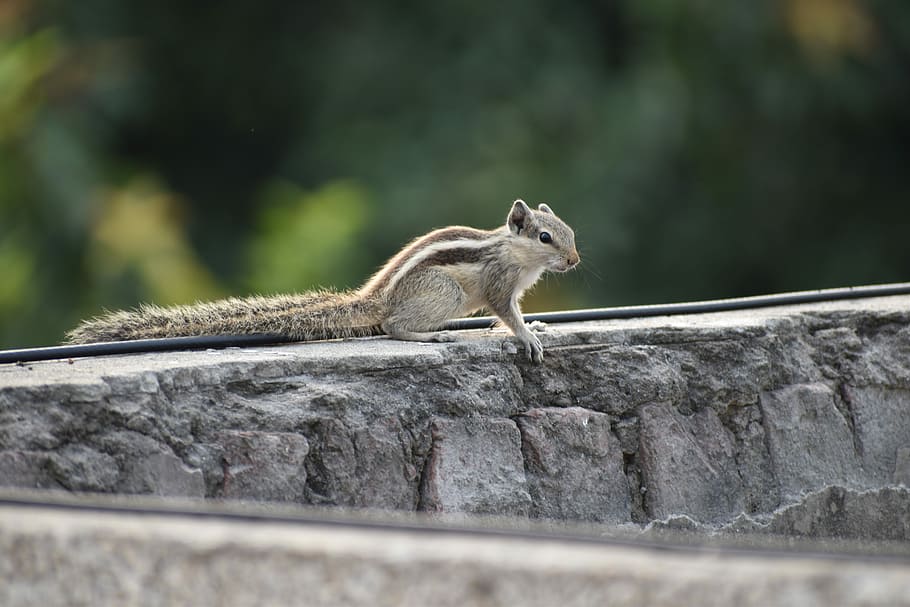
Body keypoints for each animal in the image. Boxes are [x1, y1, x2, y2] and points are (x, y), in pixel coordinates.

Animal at [66, 199, 580, 362]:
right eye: (546, 236)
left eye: (571, 233)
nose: (575, 260)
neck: (516, 253)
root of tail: (373, 298)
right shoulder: (497, 284)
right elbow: (505, 313)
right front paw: (527, 337)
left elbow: (511, 315)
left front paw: (536, 326)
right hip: (445, 292)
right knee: (392, 326)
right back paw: (430, 335)